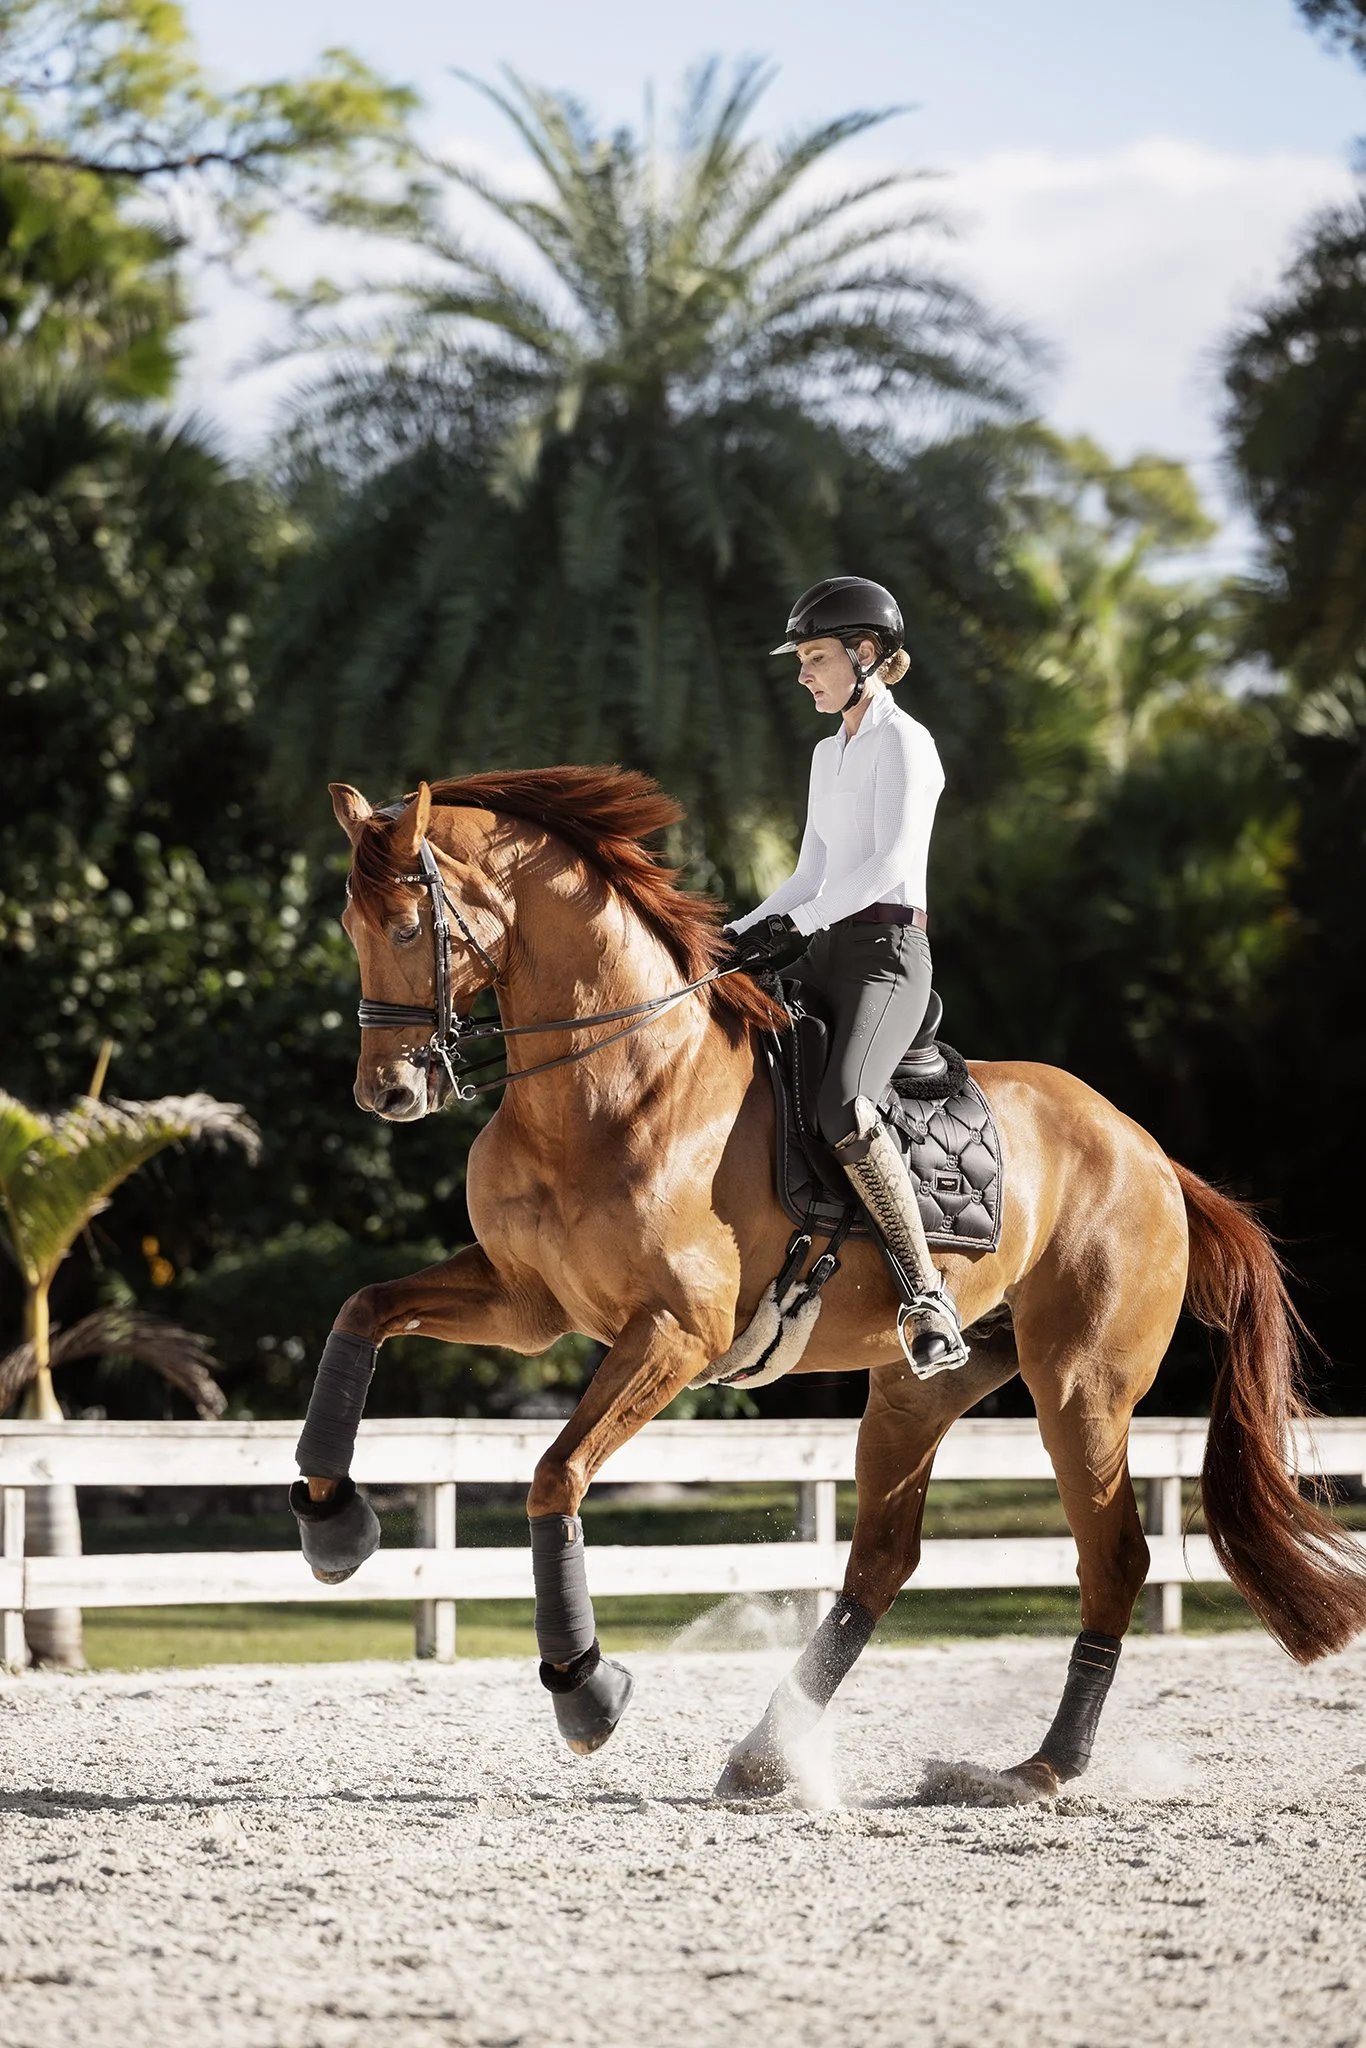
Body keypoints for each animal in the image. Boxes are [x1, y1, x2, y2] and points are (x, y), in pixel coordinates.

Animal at [294, 764, 1366, 1798]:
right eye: (348, 928)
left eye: (404, 925)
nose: (388, 1091)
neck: (615, 1084)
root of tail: (1148, 1150)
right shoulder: (528, 1305)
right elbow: (360, 1311)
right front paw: (332, 1522)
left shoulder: (674, 1335)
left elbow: (555, 1474)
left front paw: (584, 1690)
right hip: (914, 1392)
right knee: (882, 1563)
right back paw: (768, 1756)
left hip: (1081, 1389)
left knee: (1113, 1560)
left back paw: (1039, 1769)